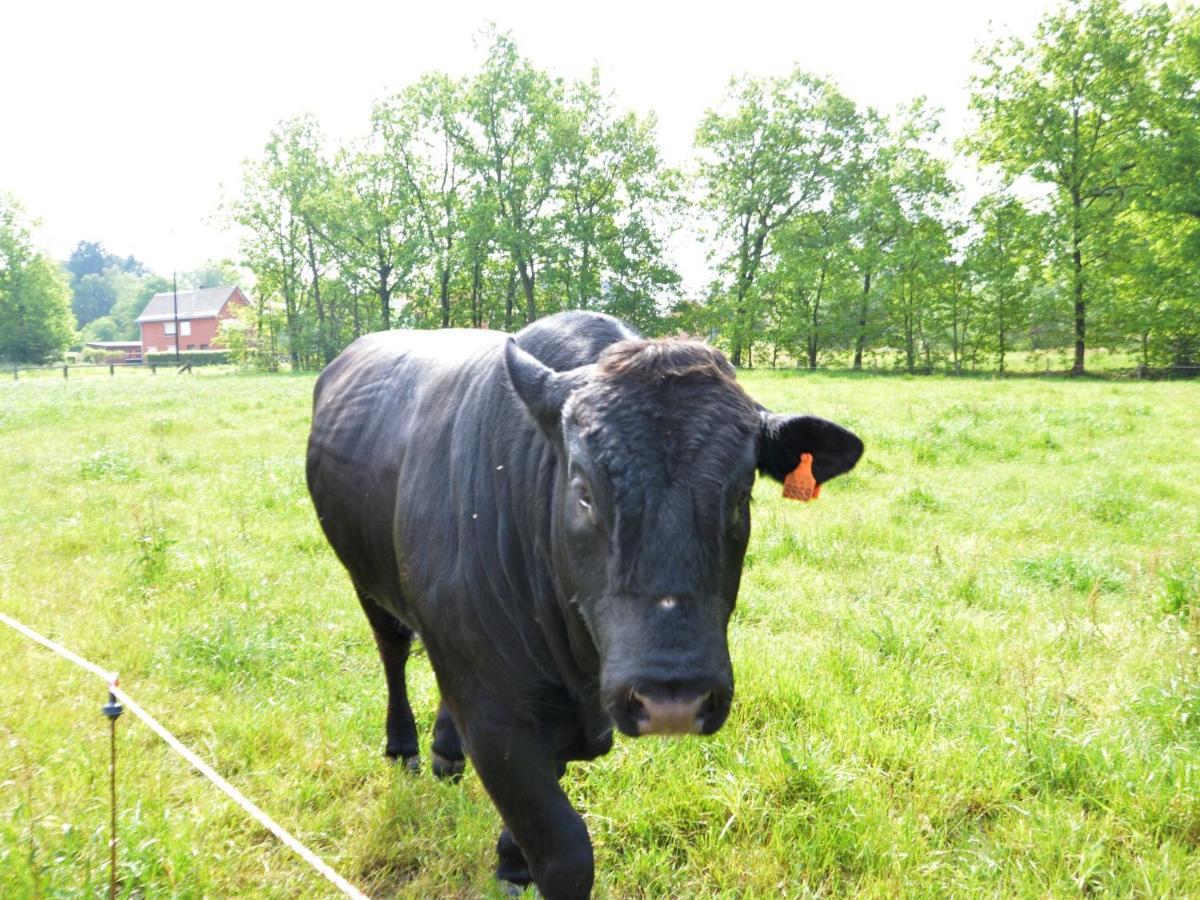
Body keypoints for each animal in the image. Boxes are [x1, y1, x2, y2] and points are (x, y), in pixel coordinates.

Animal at [304, 314, 859, 897]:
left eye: (740, 495)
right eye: (584, 492)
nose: (673, 696)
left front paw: (511, 859)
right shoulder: (498, 717)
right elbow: (563, 849)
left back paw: (446, 750)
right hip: (366, 578)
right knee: (392, 649)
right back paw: (404, 745)